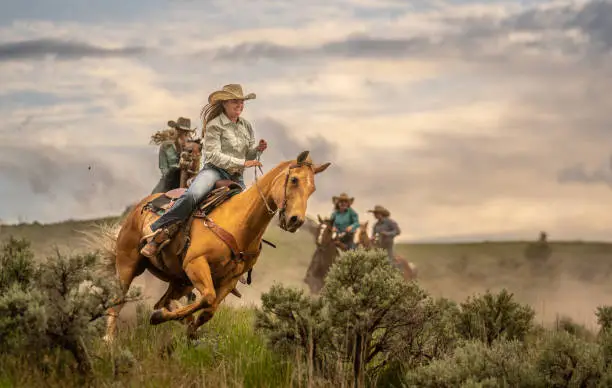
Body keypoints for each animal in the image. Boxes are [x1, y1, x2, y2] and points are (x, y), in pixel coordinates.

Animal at [107, 151, 332, 340]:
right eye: (294, 180)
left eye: (312, 189)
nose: (296, 220)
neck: (239, 223)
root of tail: (140, 206)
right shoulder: (196, 264)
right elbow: (208, 298)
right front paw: (160, 318)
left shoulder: (229, 280)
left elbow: (209, 310)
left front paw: (187, 328)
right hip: (127, 264)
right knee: (117, 301)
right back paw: (109, 339)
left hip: (180, 280)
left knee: (164, 300)